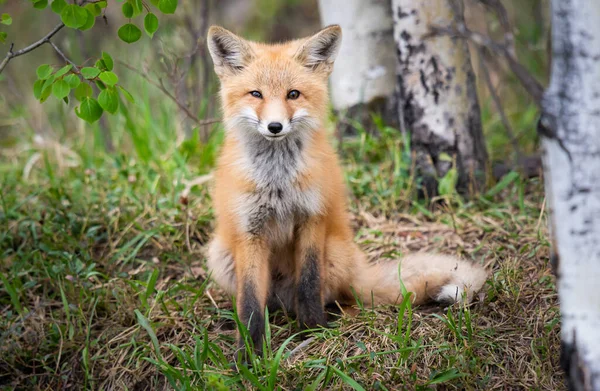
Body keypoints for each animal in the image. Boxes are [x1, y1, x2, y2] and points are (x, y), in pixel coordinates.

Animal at [206, 25, 488, 352]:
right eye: (256, 94)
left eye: (293, 94)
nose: (275, 127)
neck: (278, 182)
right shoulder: (250, 231)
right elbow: (250, 301)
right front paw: (249, 352)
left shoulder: (312, 217)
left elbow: (309, 283)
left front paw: (312, 330)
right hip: (220, 254)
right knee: (266, 302)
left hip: (336, 253)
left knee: (345, 296)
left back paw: (339, 316)